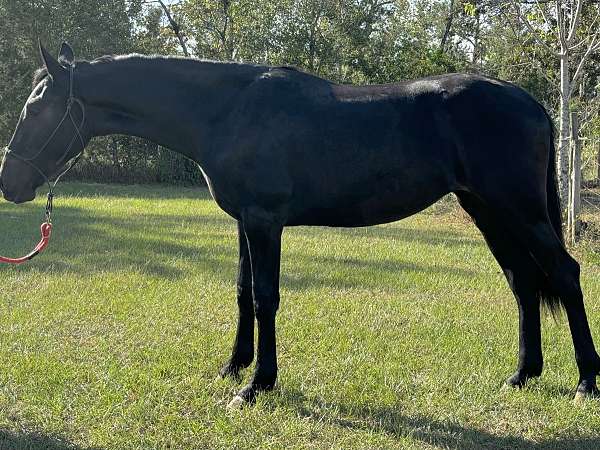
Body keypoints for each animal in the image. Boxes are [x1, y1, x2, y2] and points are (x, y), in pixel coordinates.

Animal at [1, 43, 600, 408]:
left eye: (35, 110)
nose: (10, 183)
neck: (228, 110)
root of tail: (532, 103)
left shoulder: (265, 221)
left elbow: (266, 296)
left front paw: (257, 384)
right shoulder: (245, 222)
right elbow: (243, 291)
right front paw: (234, 367)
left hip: (519, 211)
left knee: (565, 275)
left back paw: (585, 382)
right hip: (489, 212)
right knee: (524, 282)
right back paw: (522, 374)